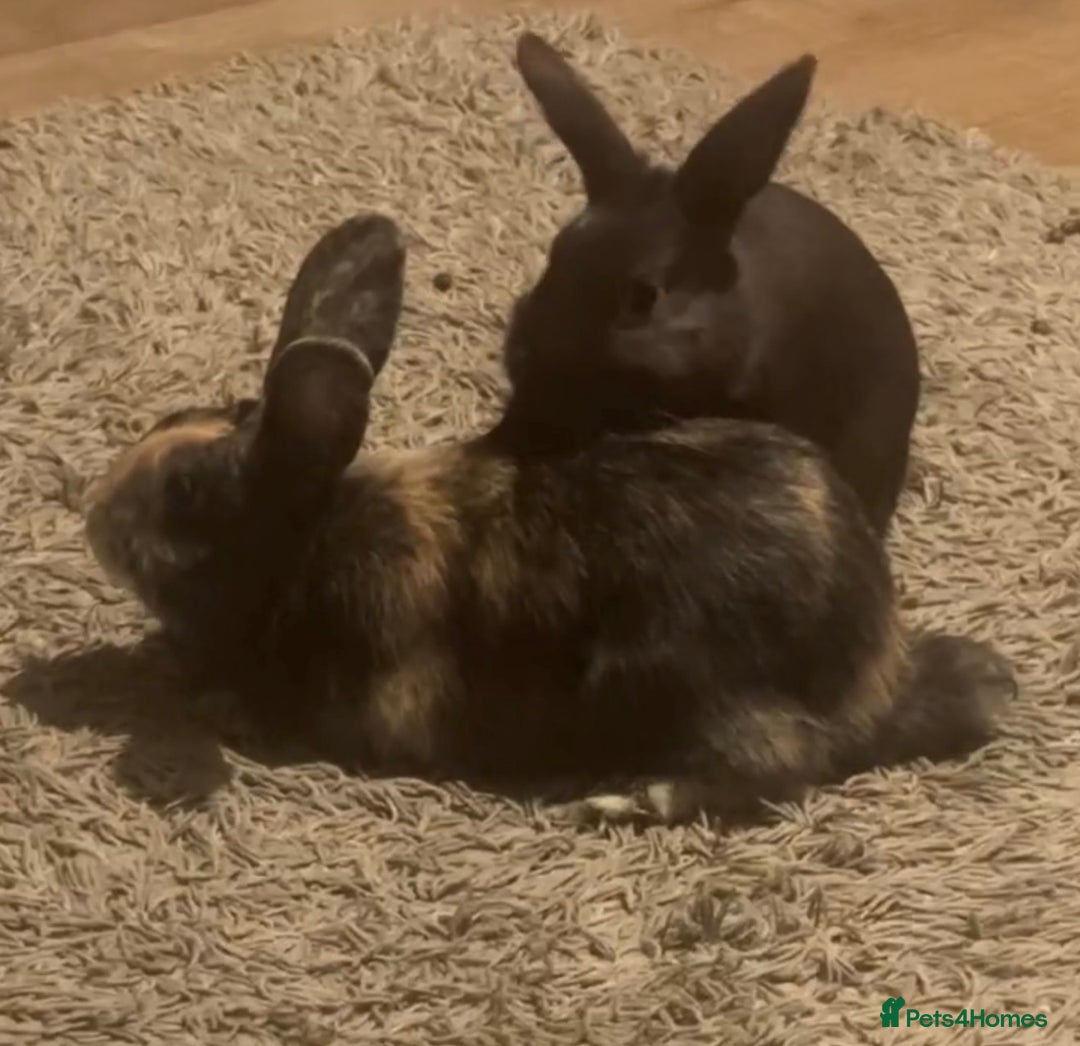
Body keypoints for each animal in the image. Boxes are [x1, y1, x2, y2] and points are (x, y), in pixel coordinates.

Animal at [81, 212, 1013, 827]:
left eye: (187, 492)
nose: (93, 515)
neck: (303, 547)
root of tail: (876, 672)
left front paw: (213, 700)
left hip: (692, 689)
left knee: (781, 768)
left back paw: (626, 800)